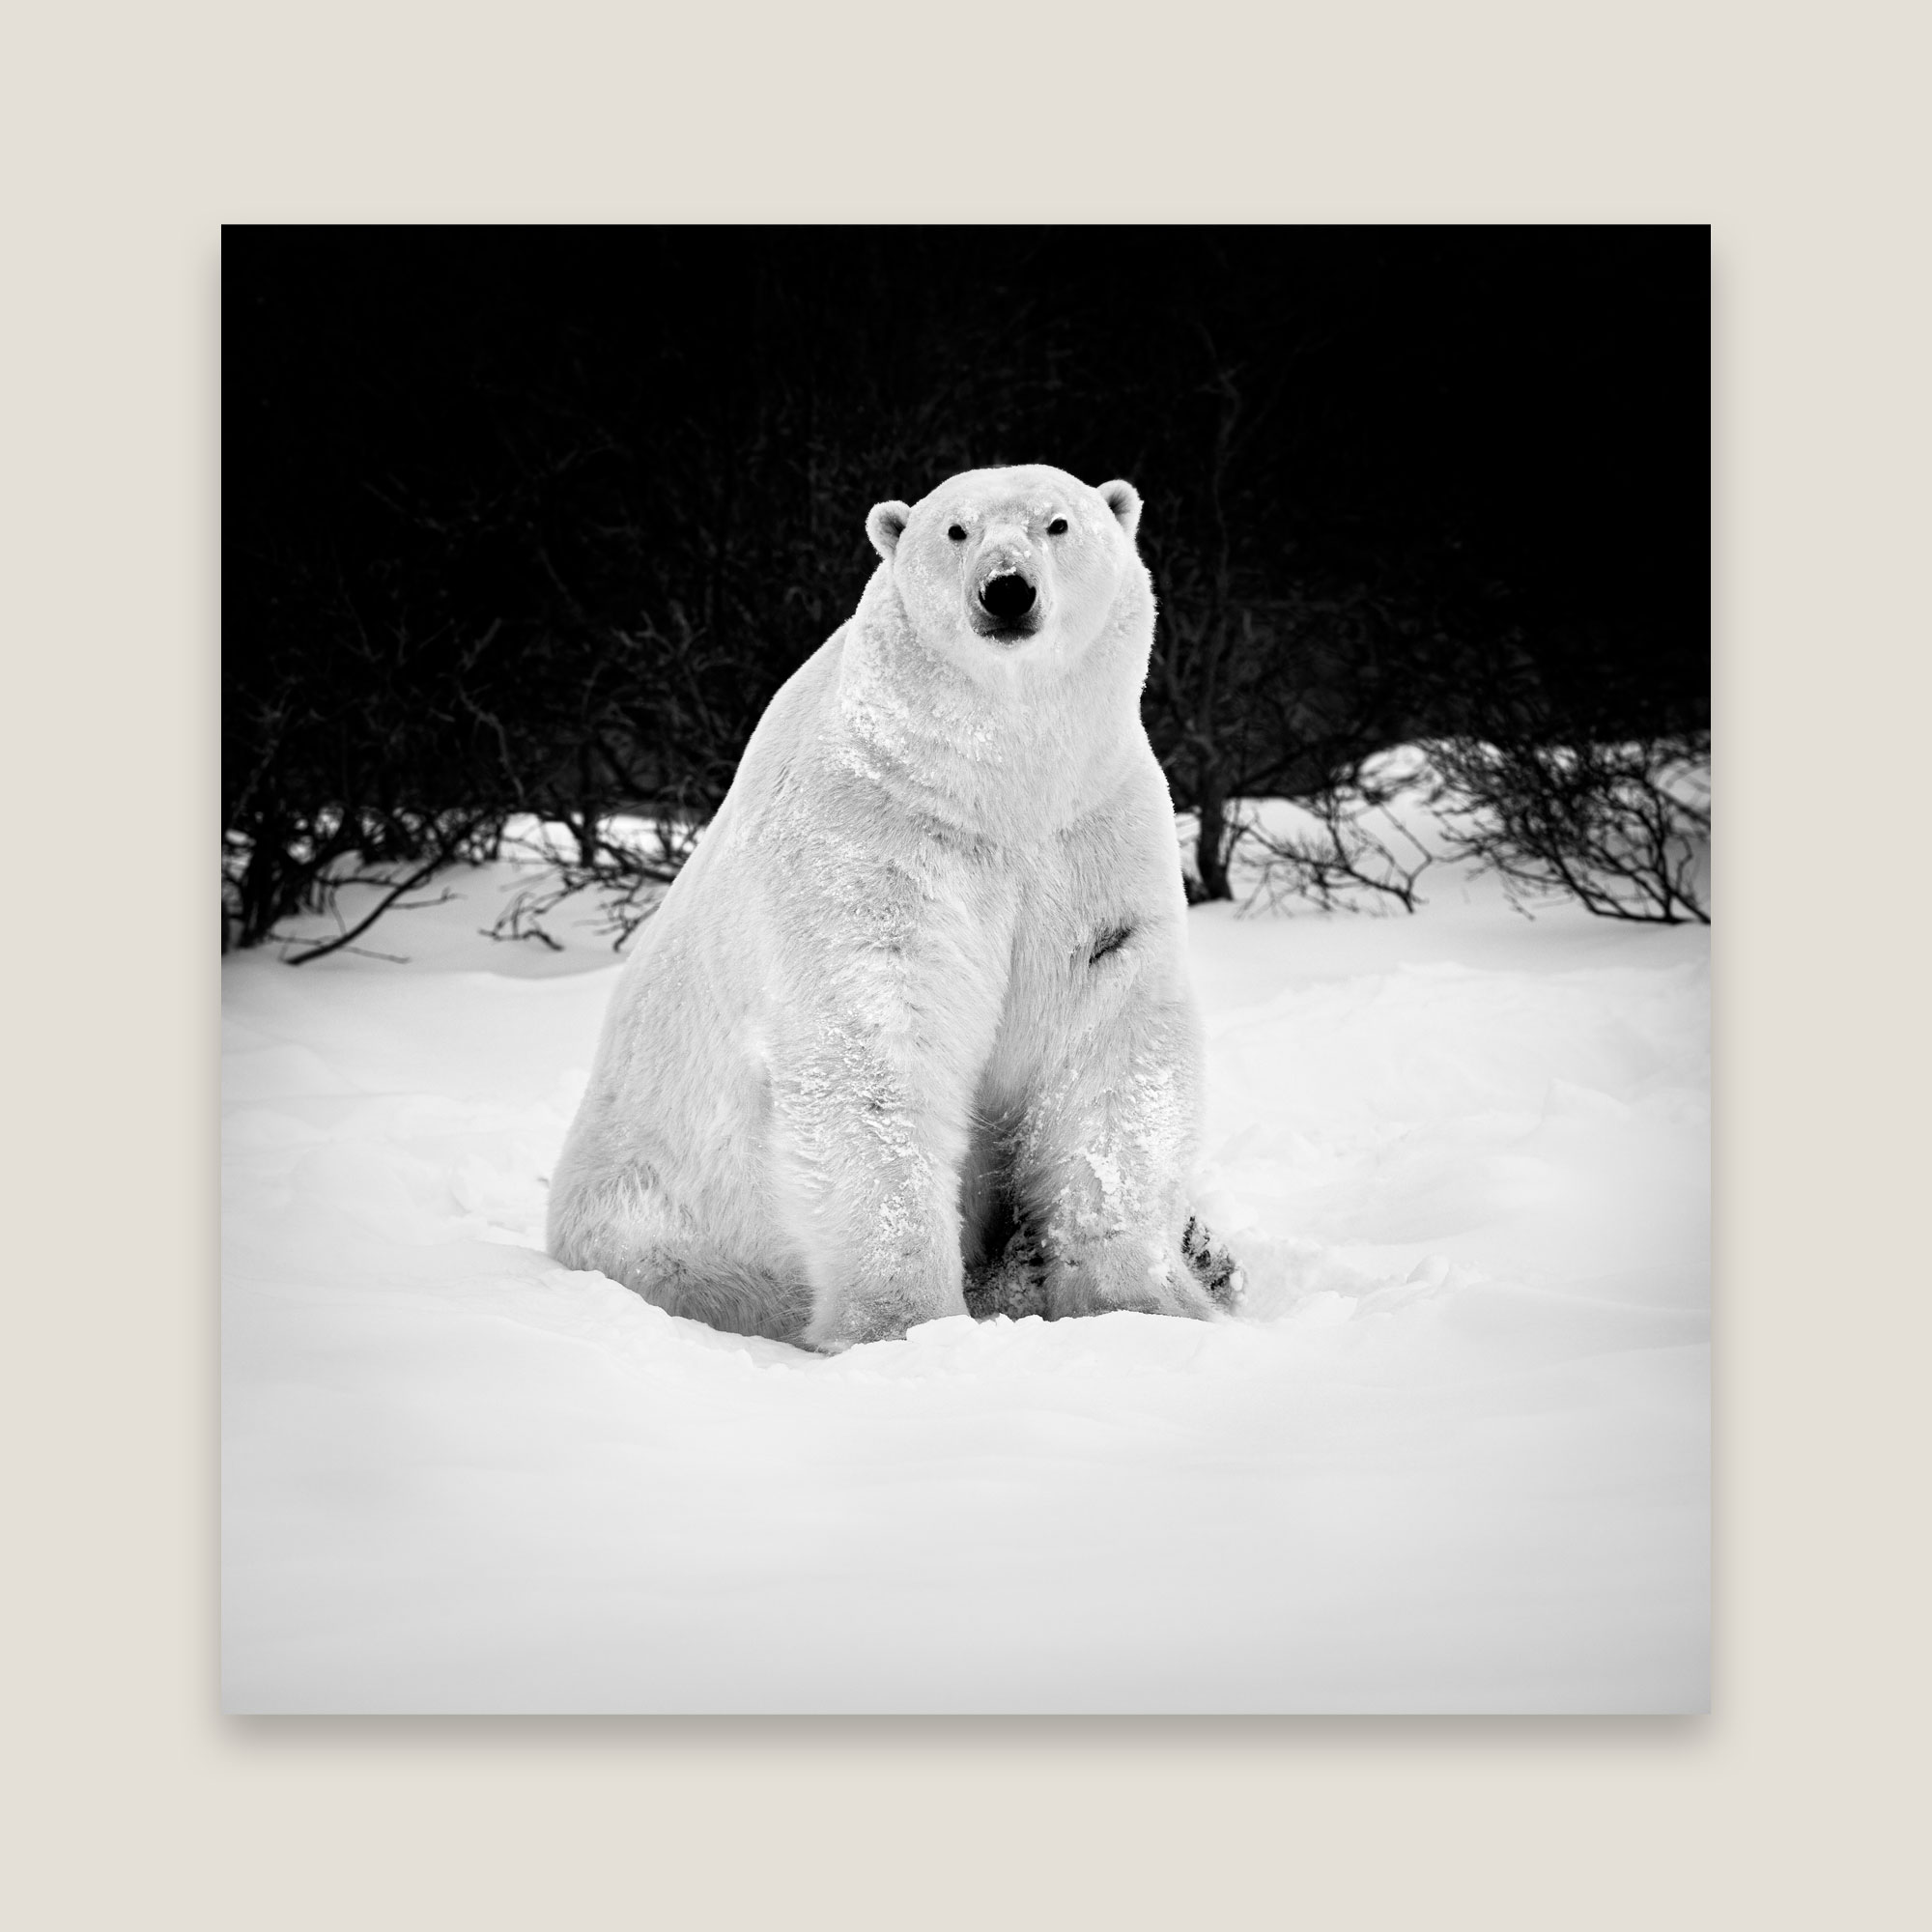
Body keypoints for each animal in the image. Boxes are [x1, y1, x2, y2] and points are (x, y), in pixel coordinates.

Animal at [545, 460, 1236, 1352]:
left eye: (1057, 523)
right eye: (956, 530)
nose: (1006, 591)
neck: (997, 788)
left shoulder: (1091, 836)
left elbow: (1107, 1036)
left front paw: (1142, 1306)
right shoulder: (873, 840)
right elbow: (877, 1051)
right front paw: (903, 1328)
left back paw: (1196, 1253)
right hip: (666, 1229)